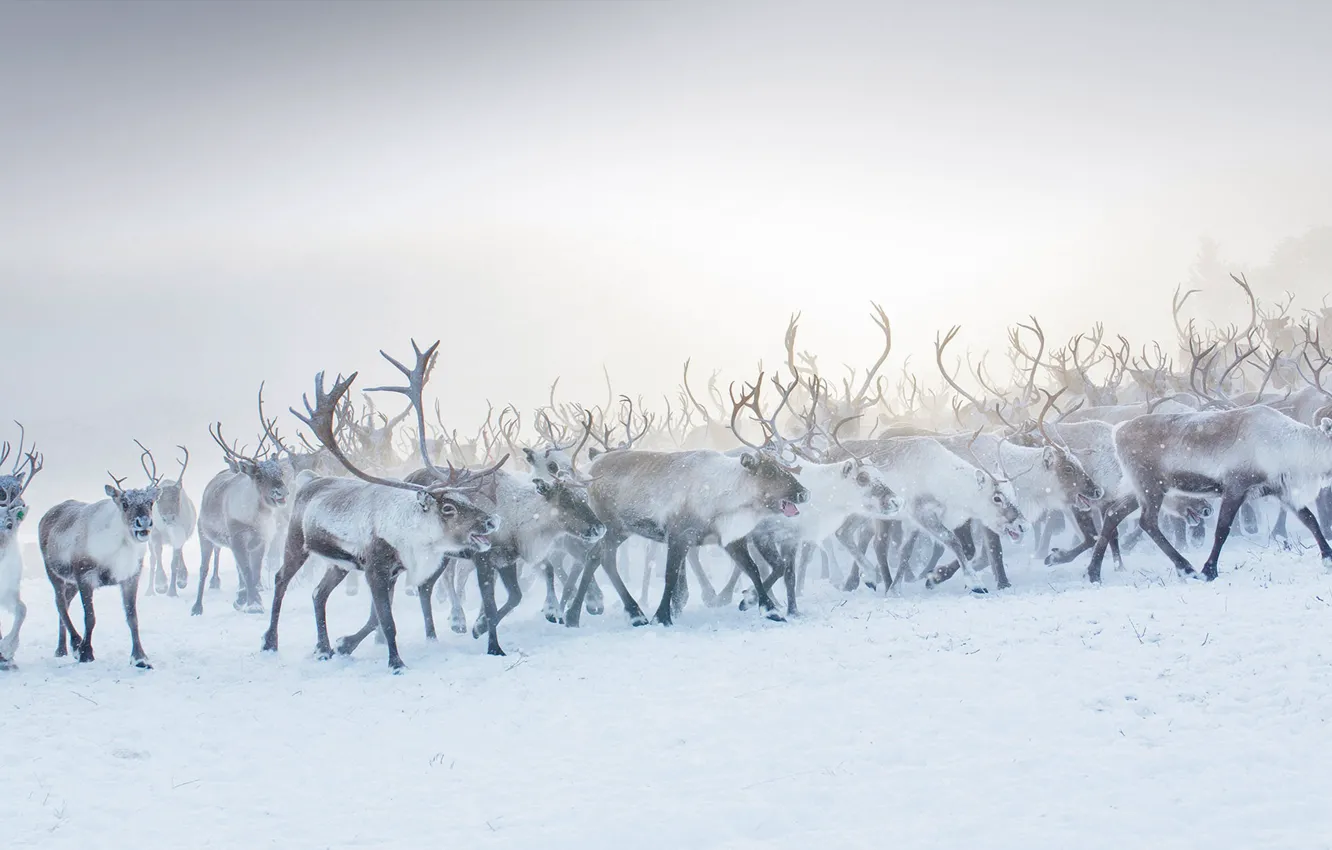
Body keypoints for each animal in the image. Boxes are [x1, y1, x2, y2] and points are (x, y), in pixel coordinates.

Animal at [39, 445, 161, 668]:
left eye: (150, 502)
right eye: (124, 503)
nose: (143, 522)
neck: (118, 550)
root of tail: (46, 515)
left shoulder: (131, 576)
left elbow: (132, 617)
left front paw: (140, 657)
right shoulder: (84, 575)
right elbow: (90, 617)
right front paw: (85, 652)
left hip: (71, 583)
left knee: (65, 604)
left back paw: (62, 649)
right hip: (54, 571)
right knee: (60, 603)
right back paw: (75, 644)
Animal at [141, 444, 196, 598]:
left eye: (176, 497)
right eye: (158, 500)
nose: (169, 517)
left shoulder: (181, 533)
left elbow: (174, 562)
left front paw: (174, 590)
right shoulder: (155, 534)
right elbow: (158, 557)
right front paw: (161, 585)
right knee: (153, 559)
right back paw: (149, 591)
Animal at [261, 341, 505, 671]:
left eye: (466, 498)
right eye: (448, 508)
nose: (491, 521)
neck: (411, 534)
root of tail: (309, 480)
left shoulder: (392, 571)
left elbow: (379, 617)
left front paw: (345, 644)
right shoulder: (375, 569)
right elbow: (387, 621)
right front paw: (396, 663)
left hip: (339, 563)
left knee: (317, 593)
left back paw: (323, 648)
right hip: (296, 543)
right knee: (280, 580)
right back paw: (270, 641)